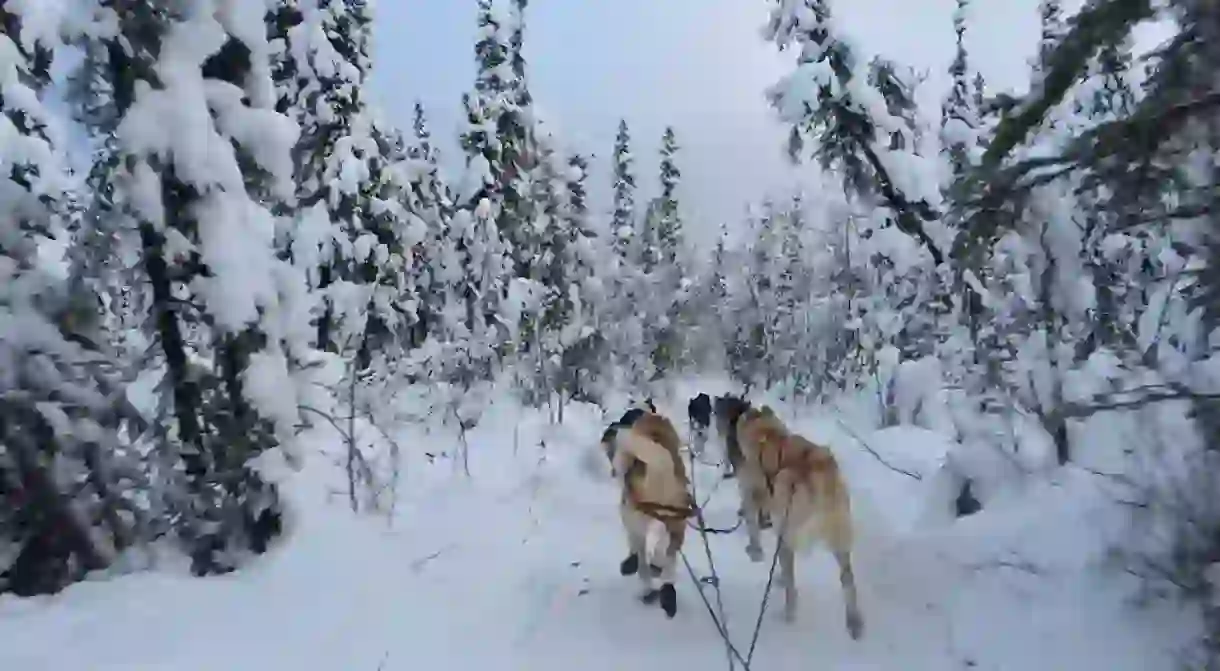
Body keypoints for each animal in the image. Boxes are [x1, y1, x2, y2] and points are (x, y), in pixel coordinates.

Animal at [602, 405, 697, 619]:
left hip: (640, 521)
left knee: (645, 564)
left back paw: (647, 585)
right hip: (675, 523)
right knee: (668, 559)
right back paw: (666, 593)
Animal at [712, 400, 863, 644]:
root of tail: (818, 469)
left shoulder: (750, 493)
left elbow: (752, 525)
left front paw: (754, 549)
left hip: (787, 531)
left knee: (791, 581)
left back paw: (788, 609)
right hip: (839, 536)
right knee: (847, 579)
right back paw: (854, 622)